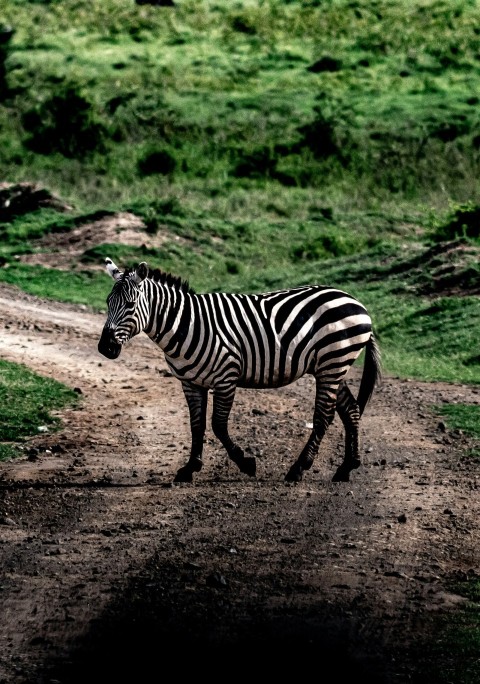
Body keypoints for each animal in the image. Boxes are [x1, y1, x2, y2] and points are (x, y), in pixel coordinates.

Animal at [98, 258, 382, 486]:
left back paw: (299, 468)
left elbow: (218, 425)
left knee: (324, 416)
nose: (105, 347)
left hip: (332, 363)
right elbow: (197, 425)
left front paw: (246, 463)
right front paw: (190, 469)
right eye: (108, 302)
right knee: (351, 410)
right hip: (333, 367)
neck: (186, 326)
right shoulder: (190, 383)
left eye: (130, 304)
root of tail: (353, 300)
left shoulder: (226, 376)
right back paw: (346, 468)